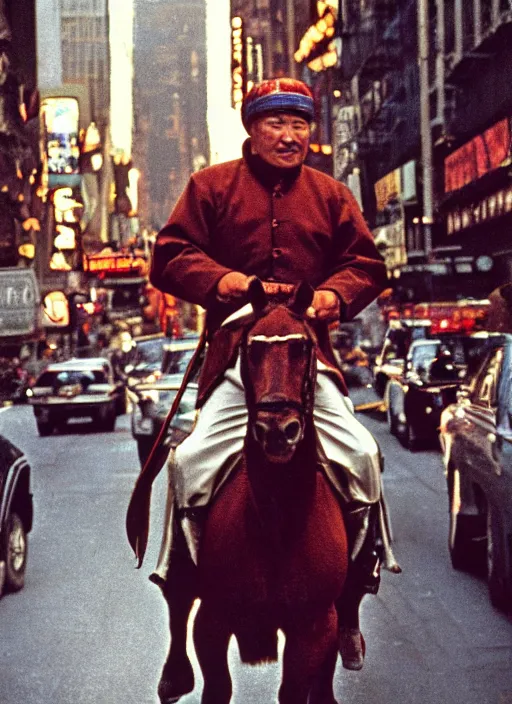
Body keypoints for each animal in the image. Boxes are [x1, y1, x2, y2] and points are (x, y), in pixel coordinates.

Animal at [192, 280, 348, 704]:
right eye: (251, 349)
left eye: (304, 347)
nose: (277, 430)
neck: (277, 522)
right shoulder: (211, 620)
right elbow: (217, 686)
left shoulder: (314, 627)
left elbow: (295, 689)